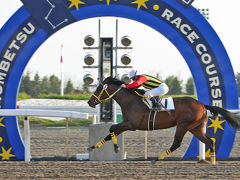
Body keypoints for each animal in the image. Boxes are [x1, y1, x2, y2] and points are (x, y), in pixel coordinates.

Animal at [87, 76, 239, 164]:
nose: (90, 102)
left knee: (176, 144)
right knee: (210, 142)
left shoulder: (131, 124)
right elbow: (110, 132)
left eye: (99, 88)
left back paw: (157, 159)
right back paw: (212, 163)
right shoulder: (126, 124)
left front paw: (116, 148)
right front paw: (92, 147)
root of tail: (201, 104)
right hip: (196, 128)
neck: (130, 101)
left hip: (183, 125)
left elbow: (112, 128)